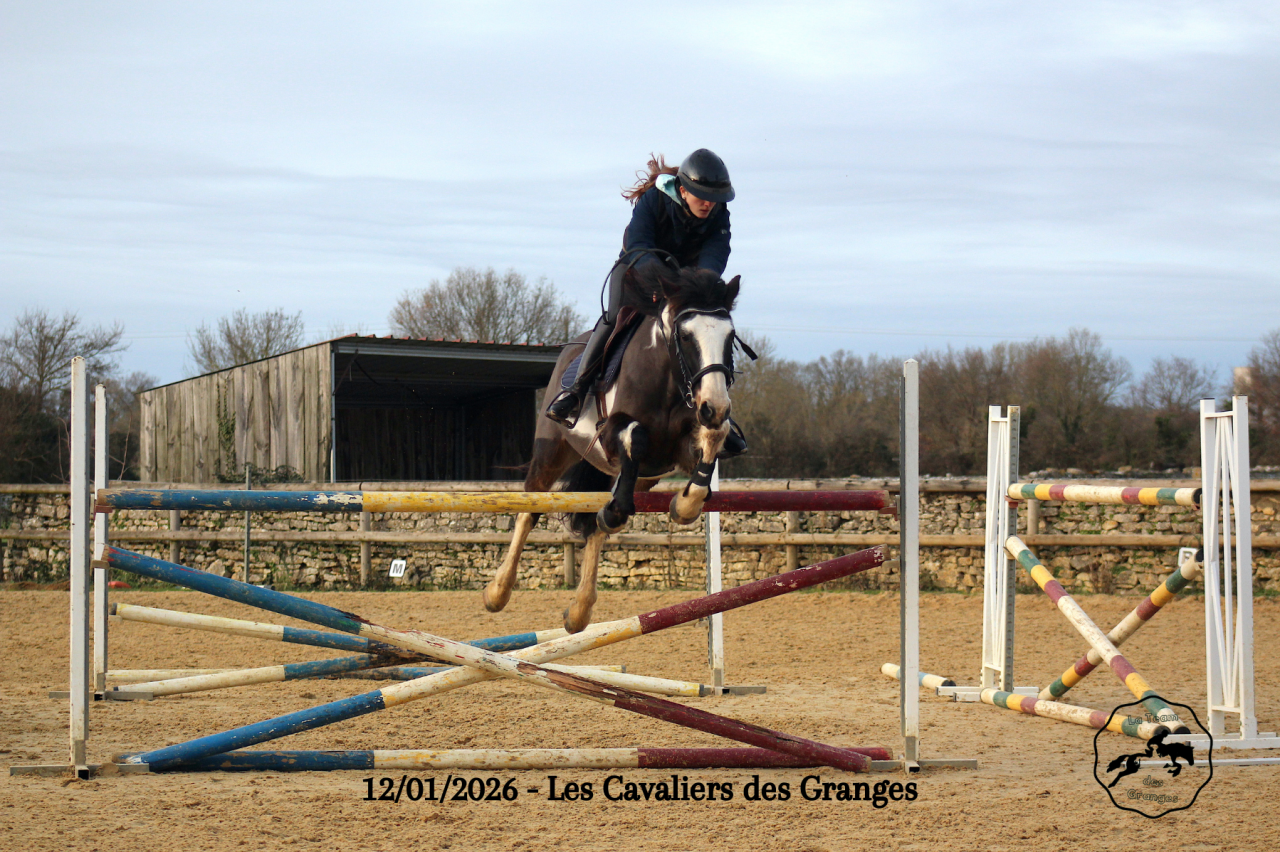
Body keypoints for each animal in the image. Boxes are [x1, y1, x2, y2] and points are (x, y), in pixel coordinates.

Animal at [483, 264, 745, 633]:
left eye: (730, 337)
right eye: (685, 336)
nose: (716, 406)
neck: (667, 377)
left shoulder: (680, 447)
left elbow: (712, 440)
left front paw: (684, 505)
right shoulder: (611, 431)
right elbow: (635, 436)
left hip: (641, 478)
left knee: (598, 523)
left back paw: (579, 610)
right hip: (552, 453)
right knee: (530, 507)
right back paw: (498, 592)